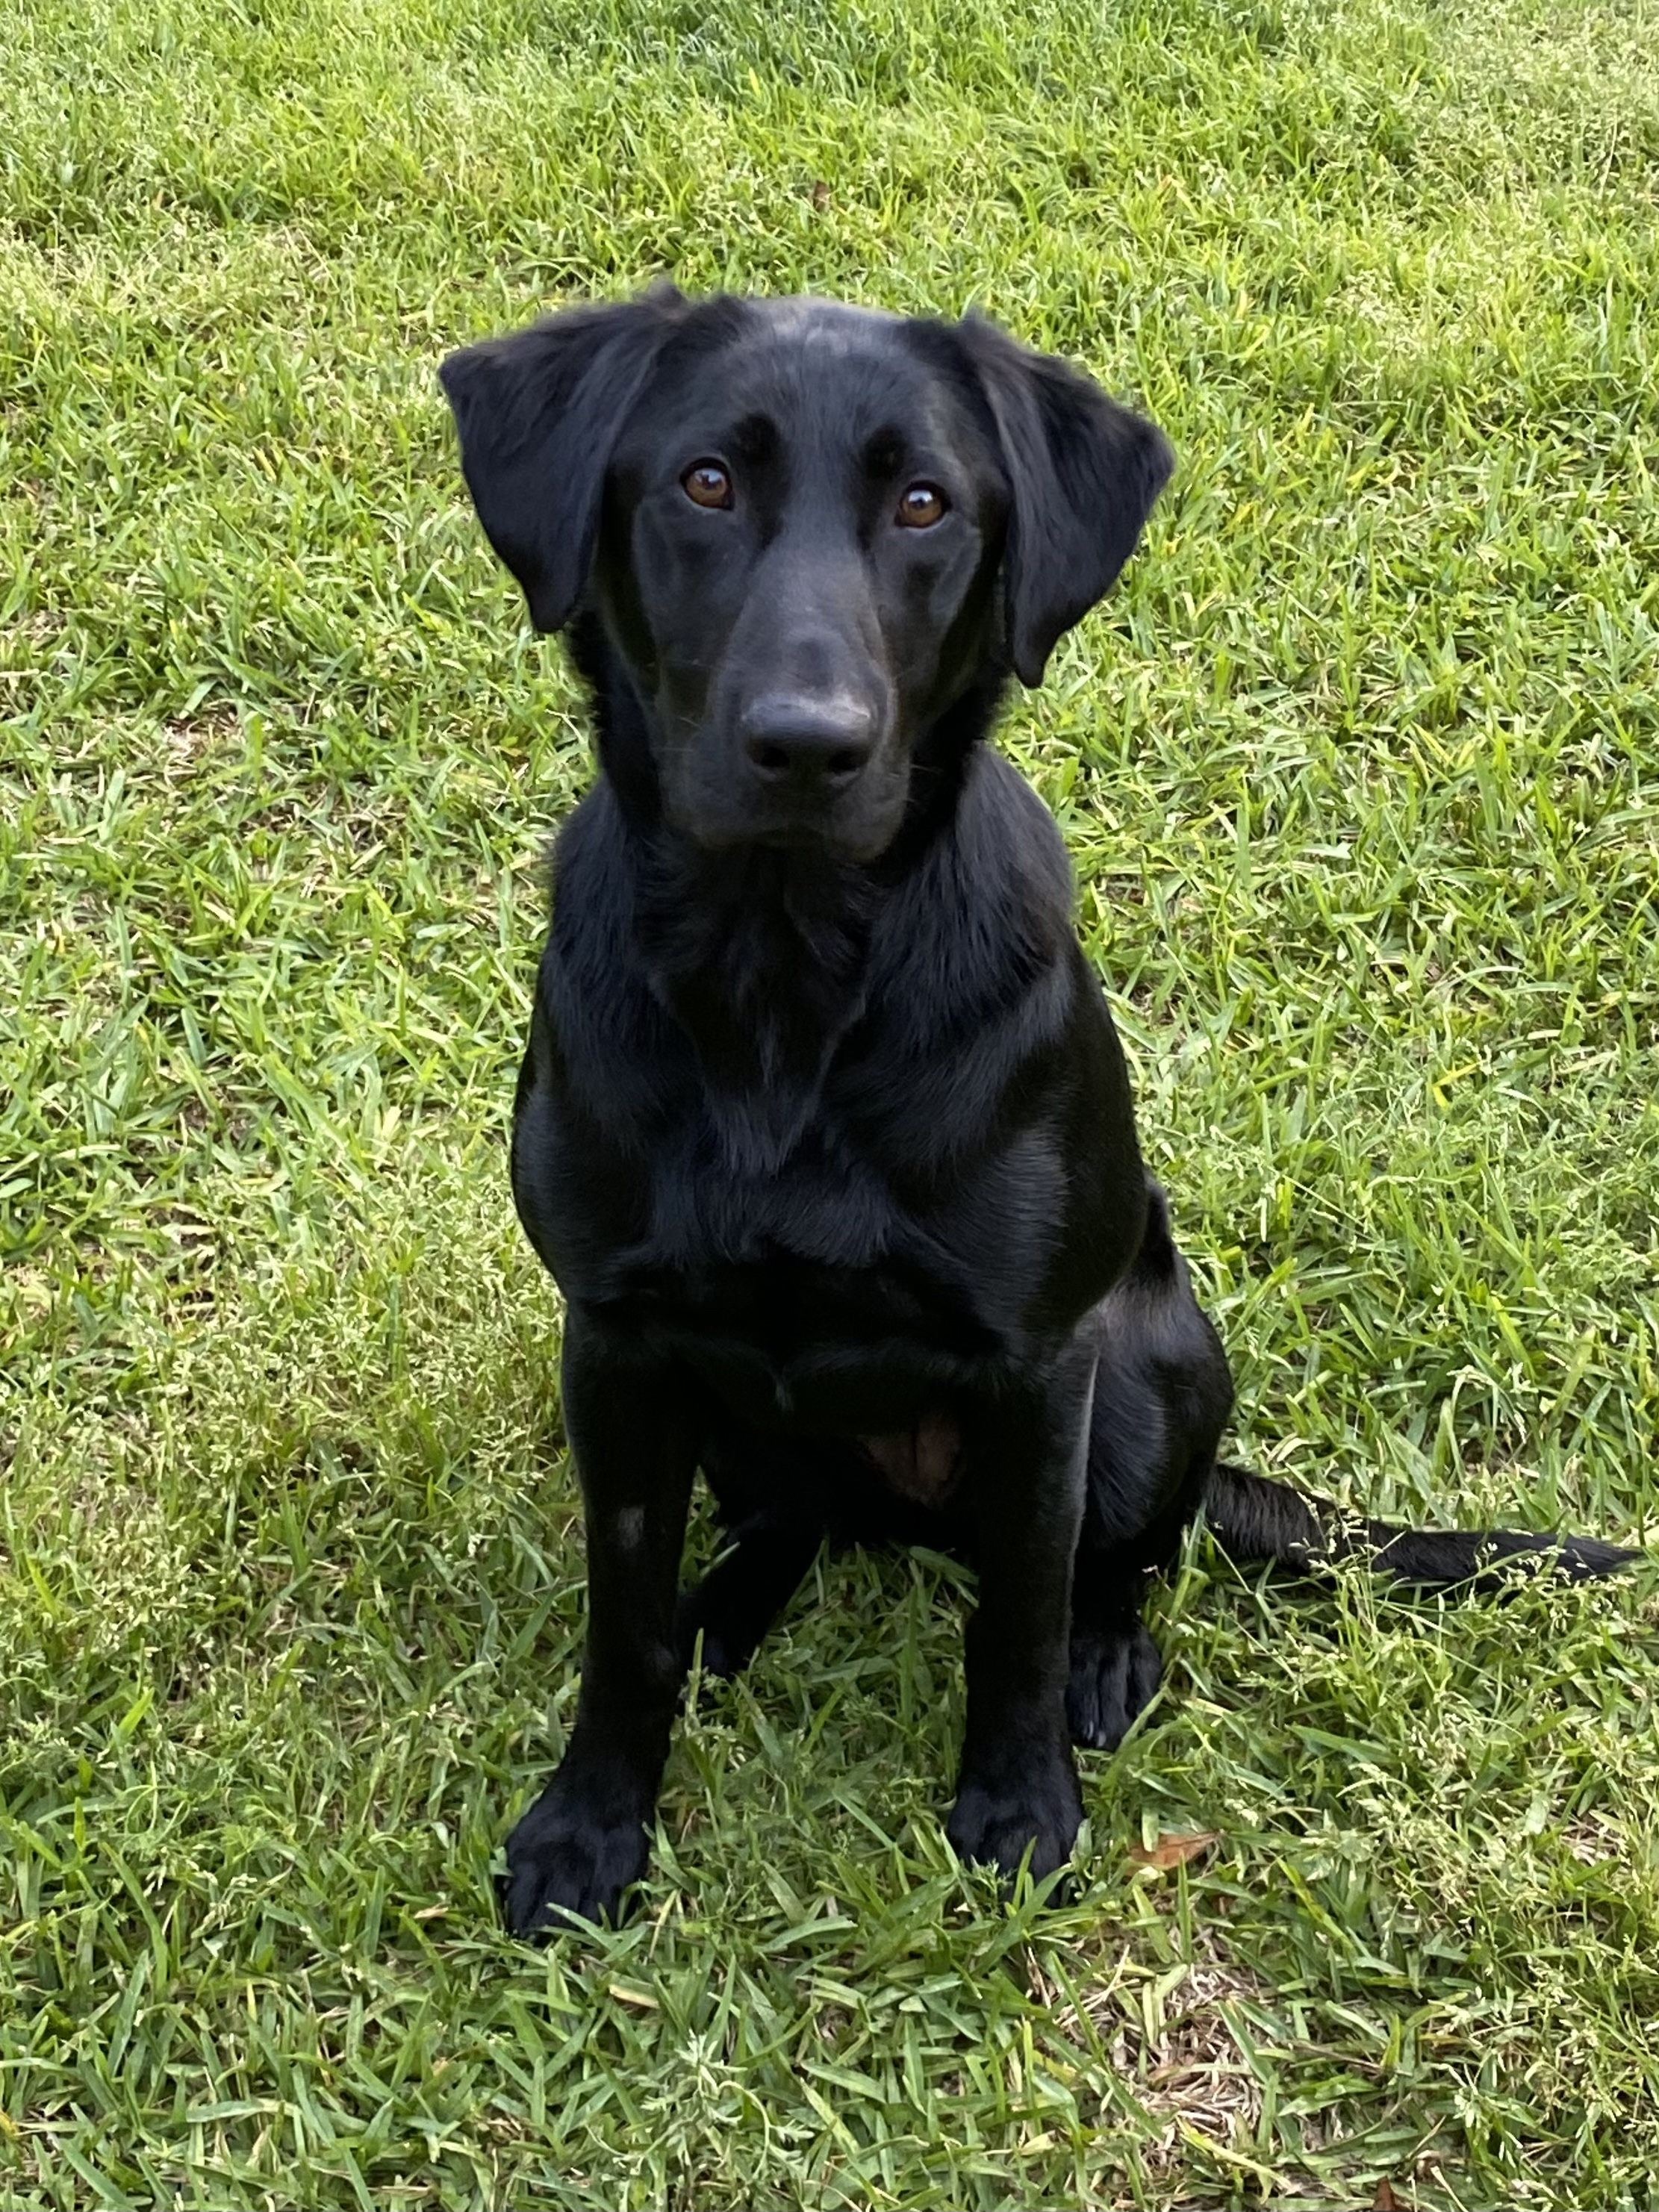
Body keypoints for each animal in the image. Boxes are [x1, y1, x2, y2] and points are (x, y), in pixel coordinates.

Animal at [438, 290, 1637, 1937]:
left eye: (925, 505)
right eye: (704, 483)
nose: (806, 743)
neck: (781, 981)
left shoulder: (1033, 1367)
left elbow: (1015, 1608)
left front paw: (1016, 1808)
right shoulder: (616, 1346)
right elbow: (621, 1619)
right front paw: (590, 1821)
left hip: (1154, 1371)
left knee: (1120, 1553)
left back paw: (1105, 1654)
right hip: (733, 1409)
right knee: (791, 1517)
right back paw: (727, 1611)